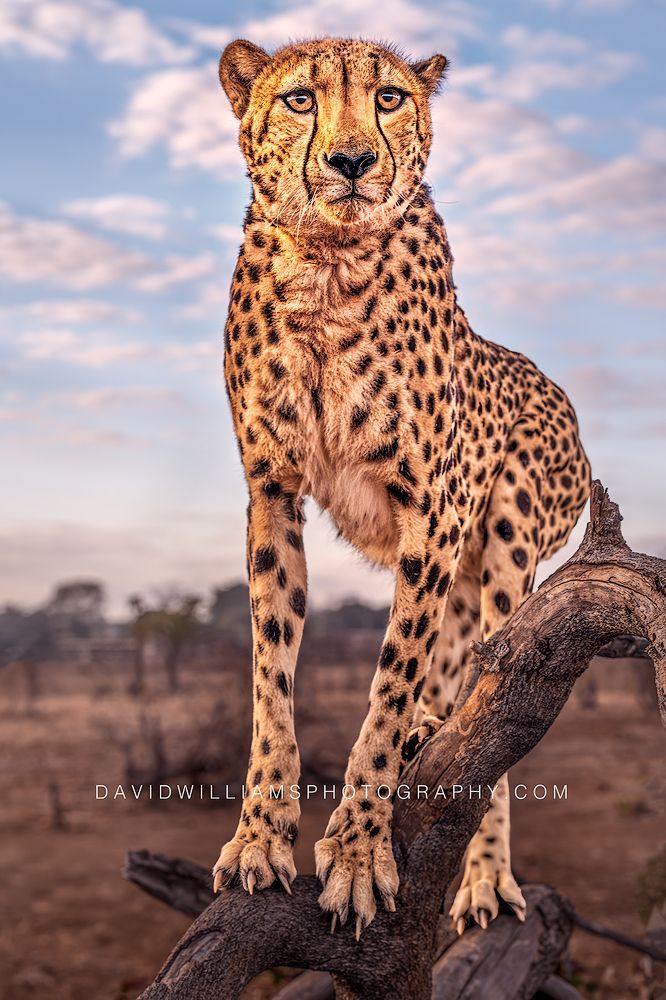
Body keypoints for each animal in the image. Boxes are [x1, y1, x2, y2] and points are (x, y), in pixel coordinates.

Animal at [213, 36, 591, 940]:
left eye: (388, 97)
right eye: (301, 99)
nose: (352, 162)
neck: (325, 263)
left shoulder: (435, 511)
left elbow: (389, 683)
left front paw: (355, 852)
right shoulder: (271, 493)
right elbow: (270, 678)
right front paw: (260, 838)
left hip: (511, 528)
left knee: (495, 693)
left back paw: (485, 877)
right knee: (455, 658)